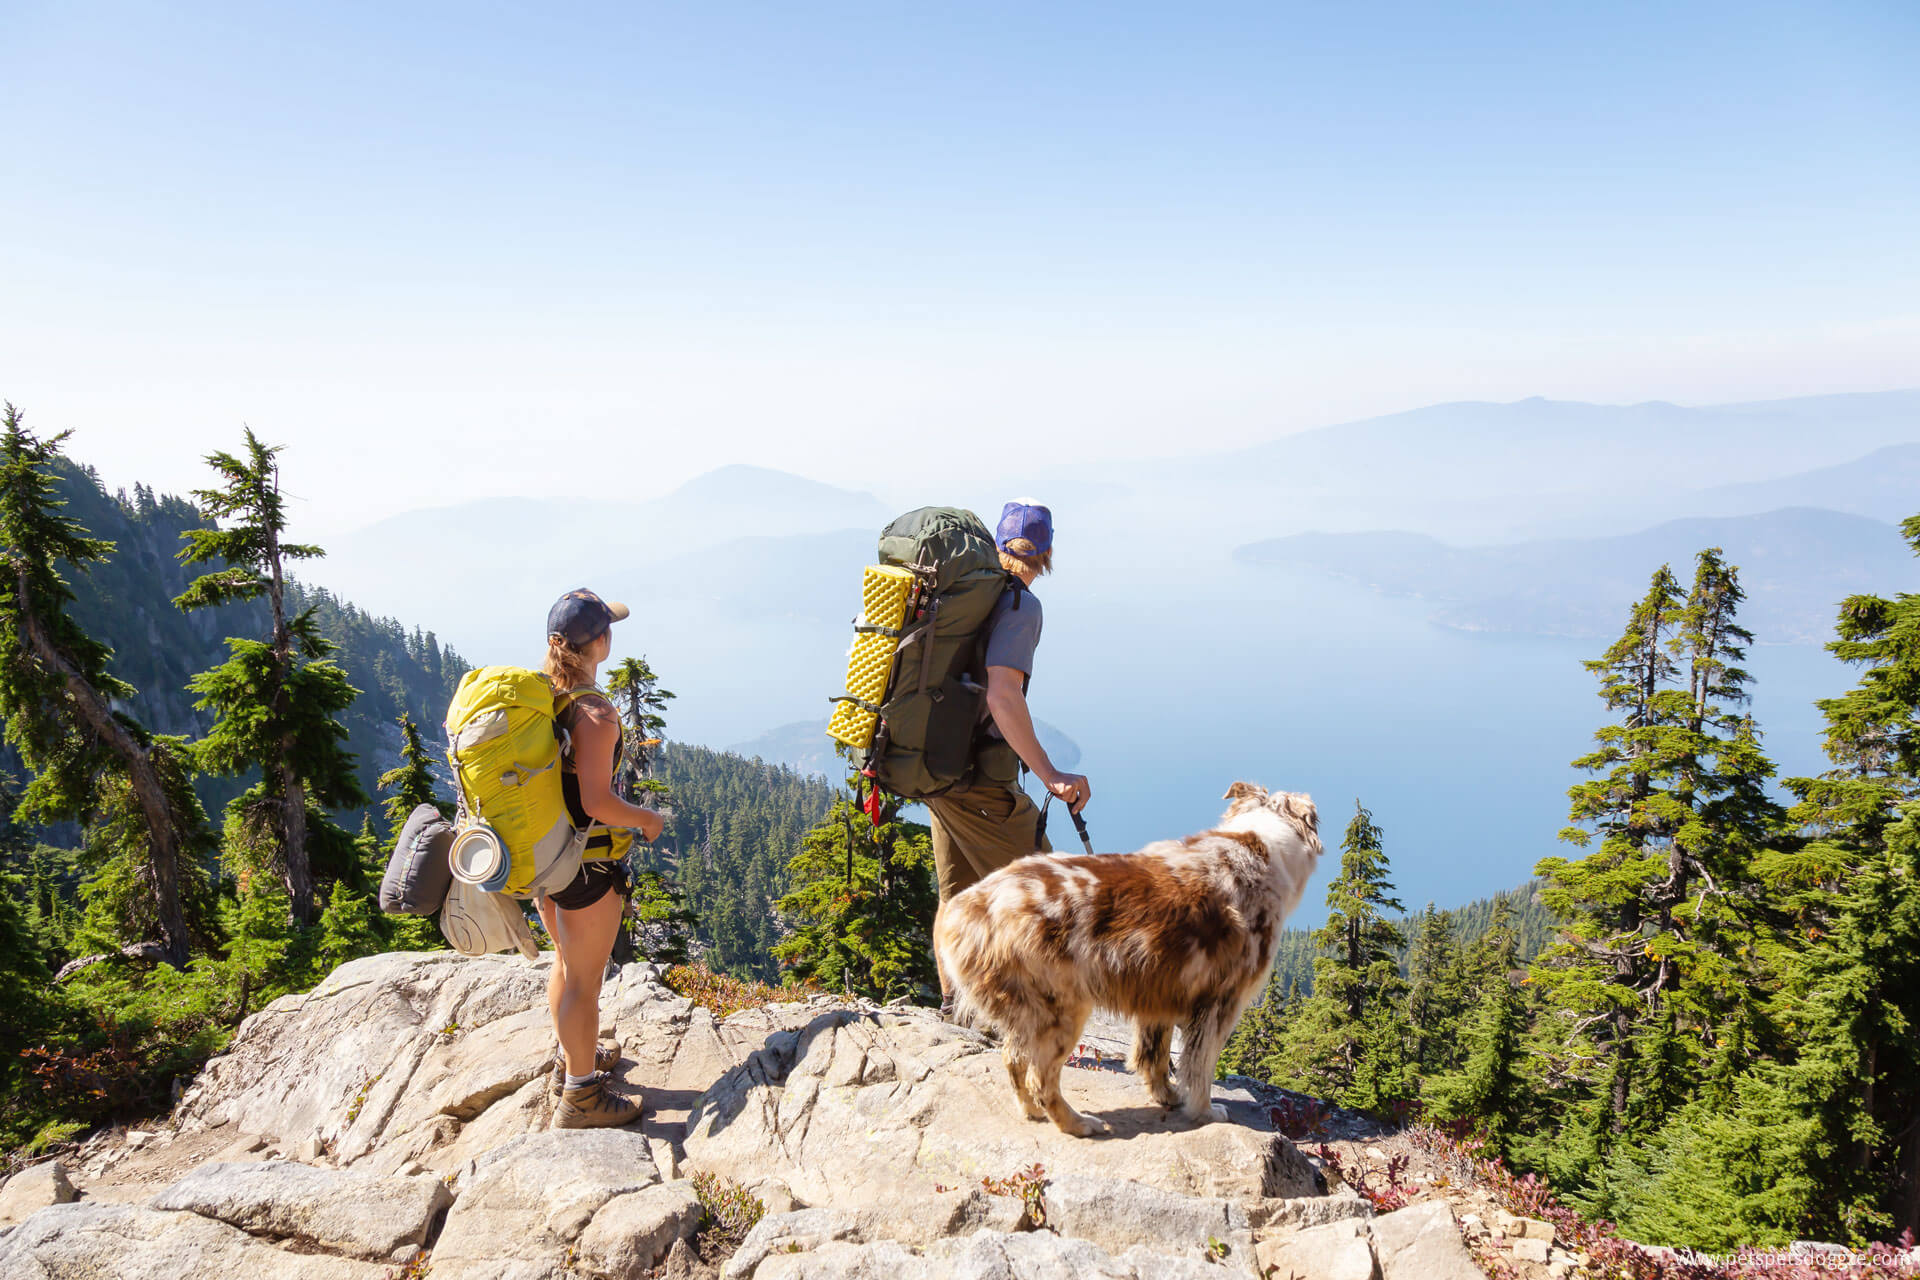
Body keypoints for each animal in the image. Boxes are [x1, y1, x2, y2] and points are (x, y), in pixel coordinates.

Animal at [929, 786, 1320, 1136]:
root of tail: (969, 907)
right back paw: (1078, 1124)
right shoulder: (1221, 1002)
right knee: (1041, 1079)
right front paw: (1205, 1113)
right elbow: (1200, 1069)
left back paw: (1030, 1112)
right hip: (1062, 1013)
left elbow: (1155, 1058)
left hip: (1031, 1014)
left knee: (1012, 1060)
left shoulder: (1160, 994)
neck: (1259, 843)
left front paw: (1168, 1097)